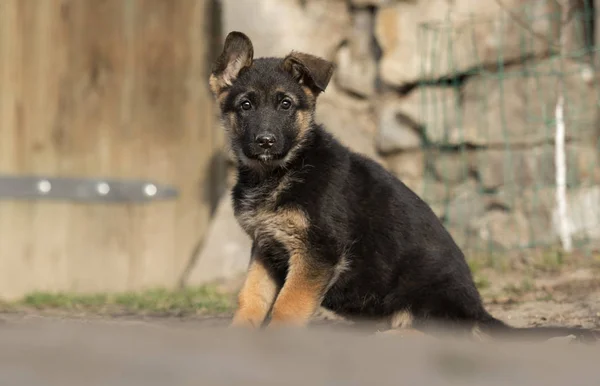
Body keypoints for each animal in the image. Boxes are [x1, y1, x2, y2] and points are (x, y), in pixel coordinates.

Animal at [209, 31, 596, 342]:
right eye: (245, 105)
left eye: (286, 104)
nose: (265, 141)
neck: (278, 172)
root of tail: (479, 312)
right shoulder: (266, 249)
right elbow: (251, 300)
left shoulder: (317, 252)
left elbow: (287, 307)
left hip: (425, 294)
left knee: (441, 334)